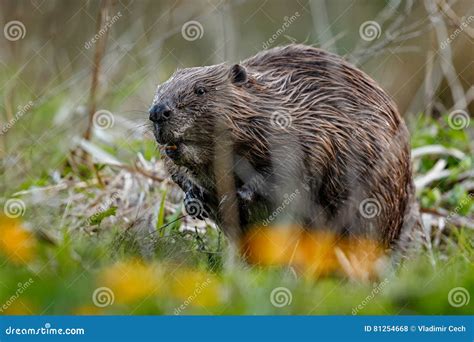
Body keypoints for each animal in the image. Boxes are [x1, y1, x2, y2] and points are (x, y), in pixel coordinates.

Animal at [148, 44, 422, 251]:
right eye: (159, 91)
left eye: (200, 90)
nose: (157, 112)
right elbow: (180, 173)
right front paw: (194, 200)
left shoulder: (313, 128)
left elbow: (295, 167)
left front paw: (238, 195)